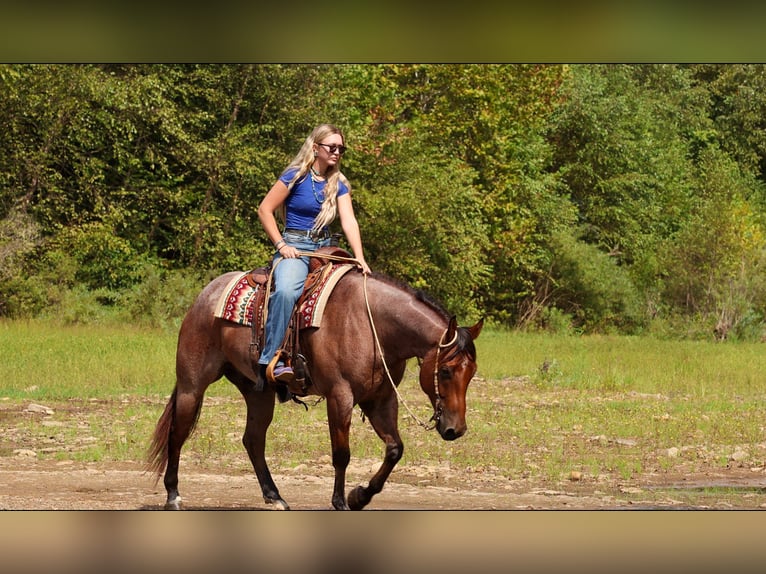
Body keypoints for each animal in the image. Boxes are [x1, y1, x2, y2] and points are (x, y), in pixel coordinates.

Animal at [147, 259, 483, 510]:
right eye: (446, 371)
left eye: (472, 373)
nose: (455, 429)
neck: (372, 325)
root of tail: (206, 294)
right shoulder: (340, 396)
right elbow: (341, 453)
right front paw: (341, 501)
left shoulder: (380, 399)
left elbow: (394, 449)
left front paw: (359, 496)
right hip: (192, 384)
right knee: (177, 434)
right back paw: (173, 496)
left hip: (258, 392)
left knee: (253, 440)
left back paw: (275, 496)